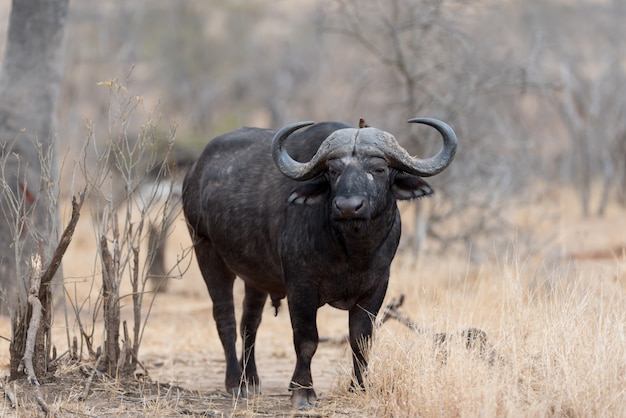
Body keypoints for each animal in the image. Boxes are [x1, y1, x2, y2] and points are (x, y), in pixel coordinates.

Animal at [180, 117, 454, 408]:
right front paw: (302, 391)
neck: (351, 249)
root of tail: (195, 171)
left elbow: (361, 338)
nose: (348, 206)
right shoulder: (301, 287)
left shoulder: (376, 288)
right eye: (333, 171)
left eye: (379, 169)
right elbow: (307, 339)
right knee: (226, 318)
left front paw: (359, 387)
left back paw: (250, 380)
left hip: (256, 277)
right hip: (206, 250)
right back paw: (235, 383)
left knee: (249, 323)